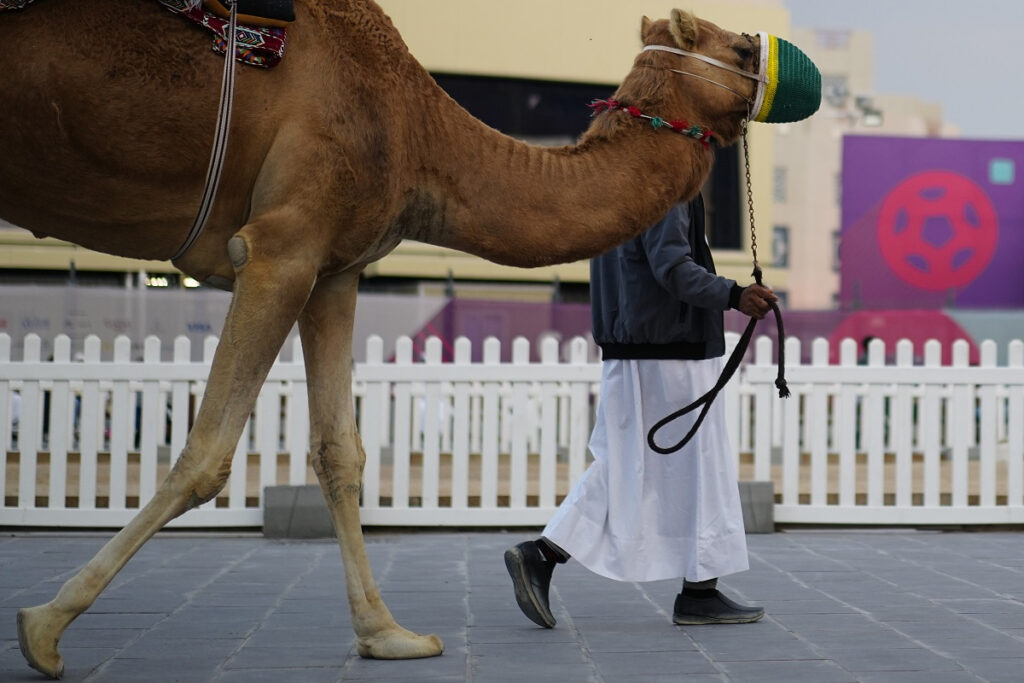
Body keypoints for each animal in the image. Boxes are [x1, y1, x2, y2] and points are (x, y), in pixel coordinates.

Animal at [4, 0, 774, 675]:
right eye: (741, 49)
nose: (774, 59)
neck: (412, 130)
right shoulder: (279, 245)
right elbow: (206, 454)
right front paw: (44, 629)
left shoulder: (333, 266)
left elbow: (339, 452)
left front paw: (387, 633)